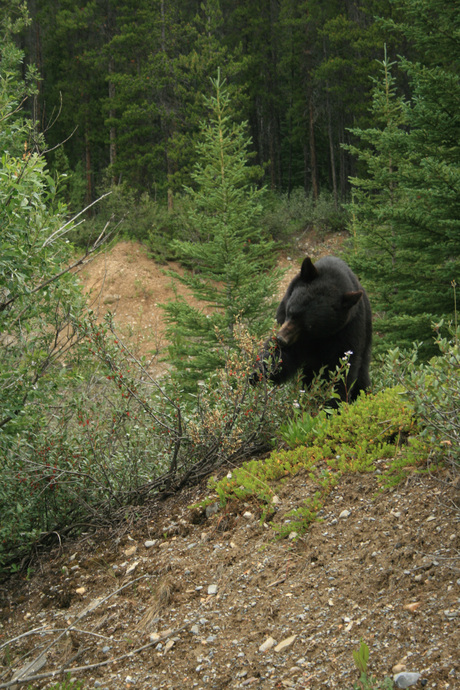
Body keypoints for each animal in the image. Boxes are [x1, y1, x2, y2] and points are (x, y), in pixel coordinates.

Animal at [256, 255, 372, 400]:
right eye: (291, 312)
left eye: (308, 326)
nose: (281, 339)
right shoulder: (284, 315)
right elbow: (281, 355)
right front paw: (260, 372)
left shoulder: (347, 330)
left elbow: (340, 367)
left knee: (361, 377)